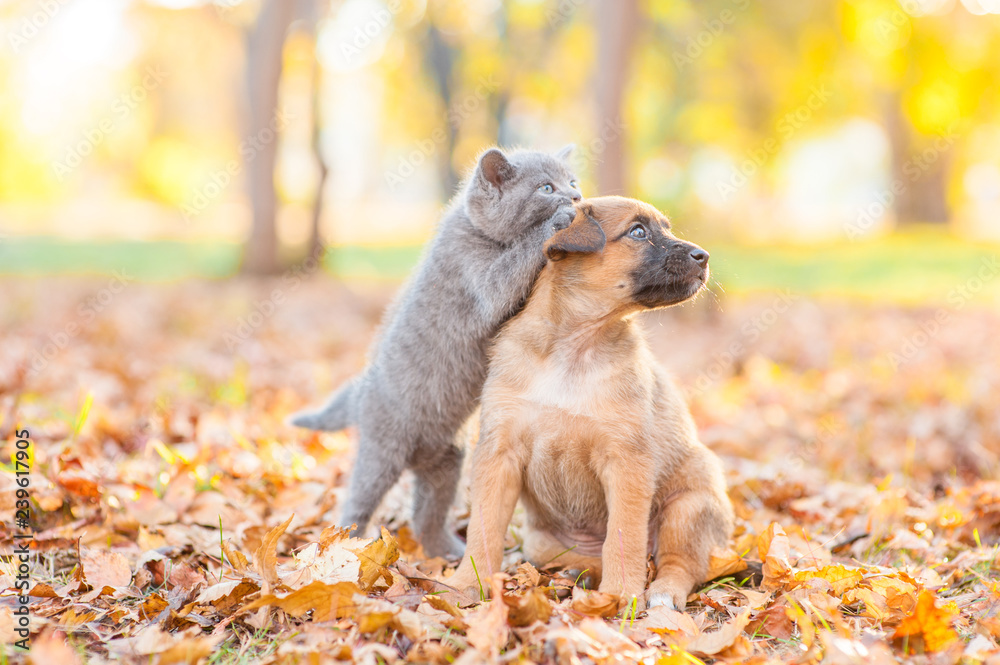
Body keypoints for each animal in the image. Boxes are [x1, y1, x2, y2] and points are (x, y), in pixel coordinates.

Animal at [290, 145, 584, 556]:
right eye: (546, 187)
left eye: (572, 181)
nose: (576, 196)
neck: (482, 234)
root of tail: (362, 393)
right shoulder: (473, 271)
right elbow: (509, 275)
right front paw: (559, 221)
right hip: (382, 449)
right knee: (360, 497)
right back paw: (348, 544)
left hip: (447, 459)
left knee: (426, 513)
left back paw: (447, 552)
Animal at [448, 195, 736, 608]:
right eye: (638, 232)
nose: (704, 256)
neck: (575, 347)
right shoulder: (498, 454)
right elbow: (482, 528)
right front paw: (466, 584)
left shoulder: (626, 460)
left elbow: (623, 536)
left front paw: (620, 595)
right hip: (540, 542)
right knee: (588, 557)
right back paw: (576, 575)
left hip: (688, 508)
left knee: (678, 565)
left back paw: (660, 593)